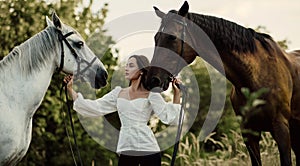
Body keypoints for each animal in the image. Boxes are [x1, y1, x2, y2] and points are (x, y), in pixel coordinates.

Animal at [148, 0, 300, 165]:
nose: (152, 79)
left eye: (172, 37)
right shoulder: (249, 134)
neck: (257, 75)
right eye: (156, 38)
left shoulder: (281, 130)